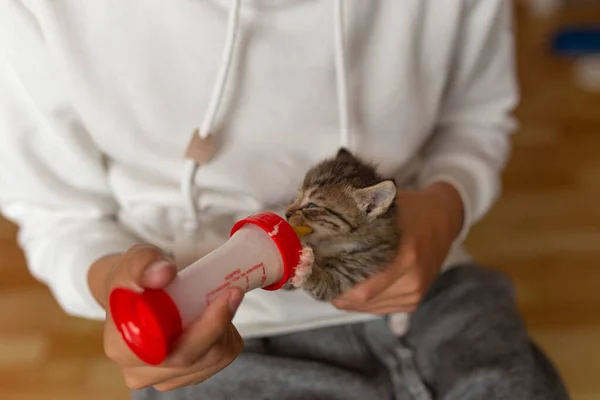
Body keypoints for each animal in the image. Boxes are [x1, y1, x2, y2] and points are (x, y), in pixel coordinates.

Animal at [284, 148, 400, 302]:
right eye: (298, 196)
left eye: (312, 206)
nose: (286, 214)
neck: (329, 243)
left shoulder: (350, 274)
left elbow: (325, 286)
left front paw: (306, 269)